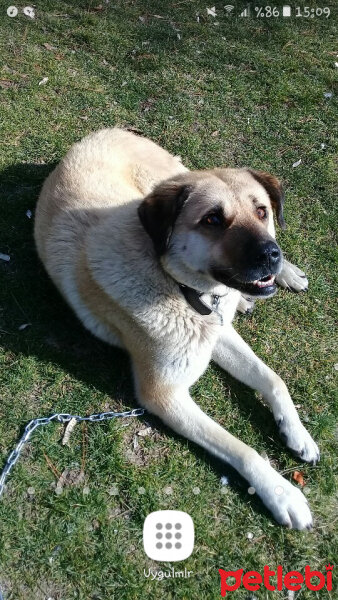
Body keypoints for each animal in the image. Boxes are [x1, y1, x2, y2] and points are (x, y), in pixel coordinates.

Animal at [33, 127, 318, 528]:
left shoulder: (218, 332)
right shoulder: (164, 394)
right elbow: (242, 448)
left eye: (262, 212)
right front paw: (283, 494)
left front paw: (298, 434)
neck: (179, 287)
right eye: (213, 220)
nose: (270, 255)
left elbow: (274, 379)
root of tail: (109, 129)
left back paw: (284, 277)